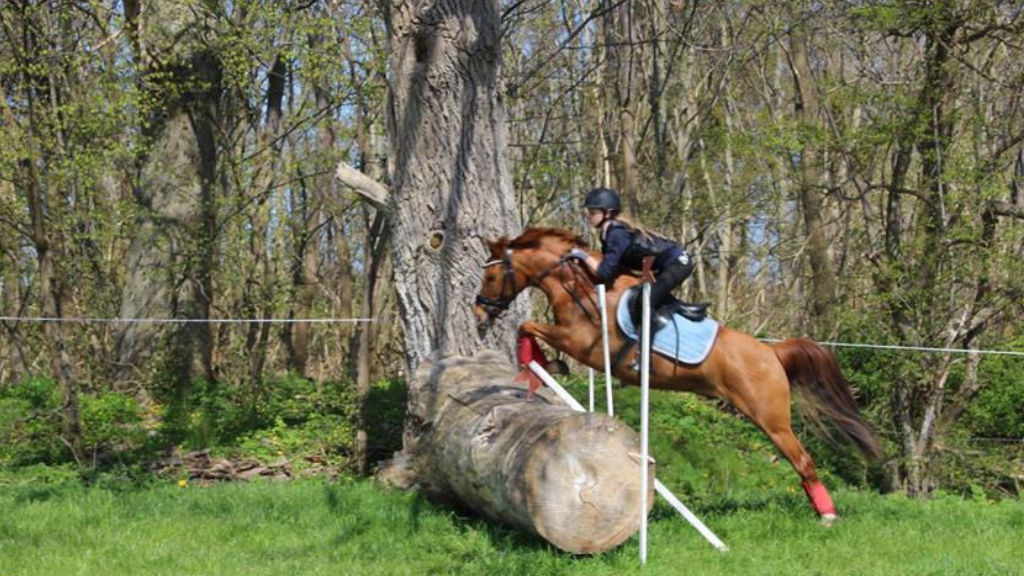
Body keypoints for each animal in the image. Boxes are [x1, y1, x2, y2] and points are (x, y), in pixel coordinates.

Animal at [472, 227, 881, 522]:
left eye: (490, 277)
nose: (479, 314)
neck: (580, 286)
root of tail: (772, 351)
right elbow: (530, 327)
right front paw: (546, 363)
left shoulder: (583, 342)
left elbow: (529, 325)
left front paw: (545, 360)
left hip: (771, 418)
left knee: (802, 459)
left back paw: (827, 514)